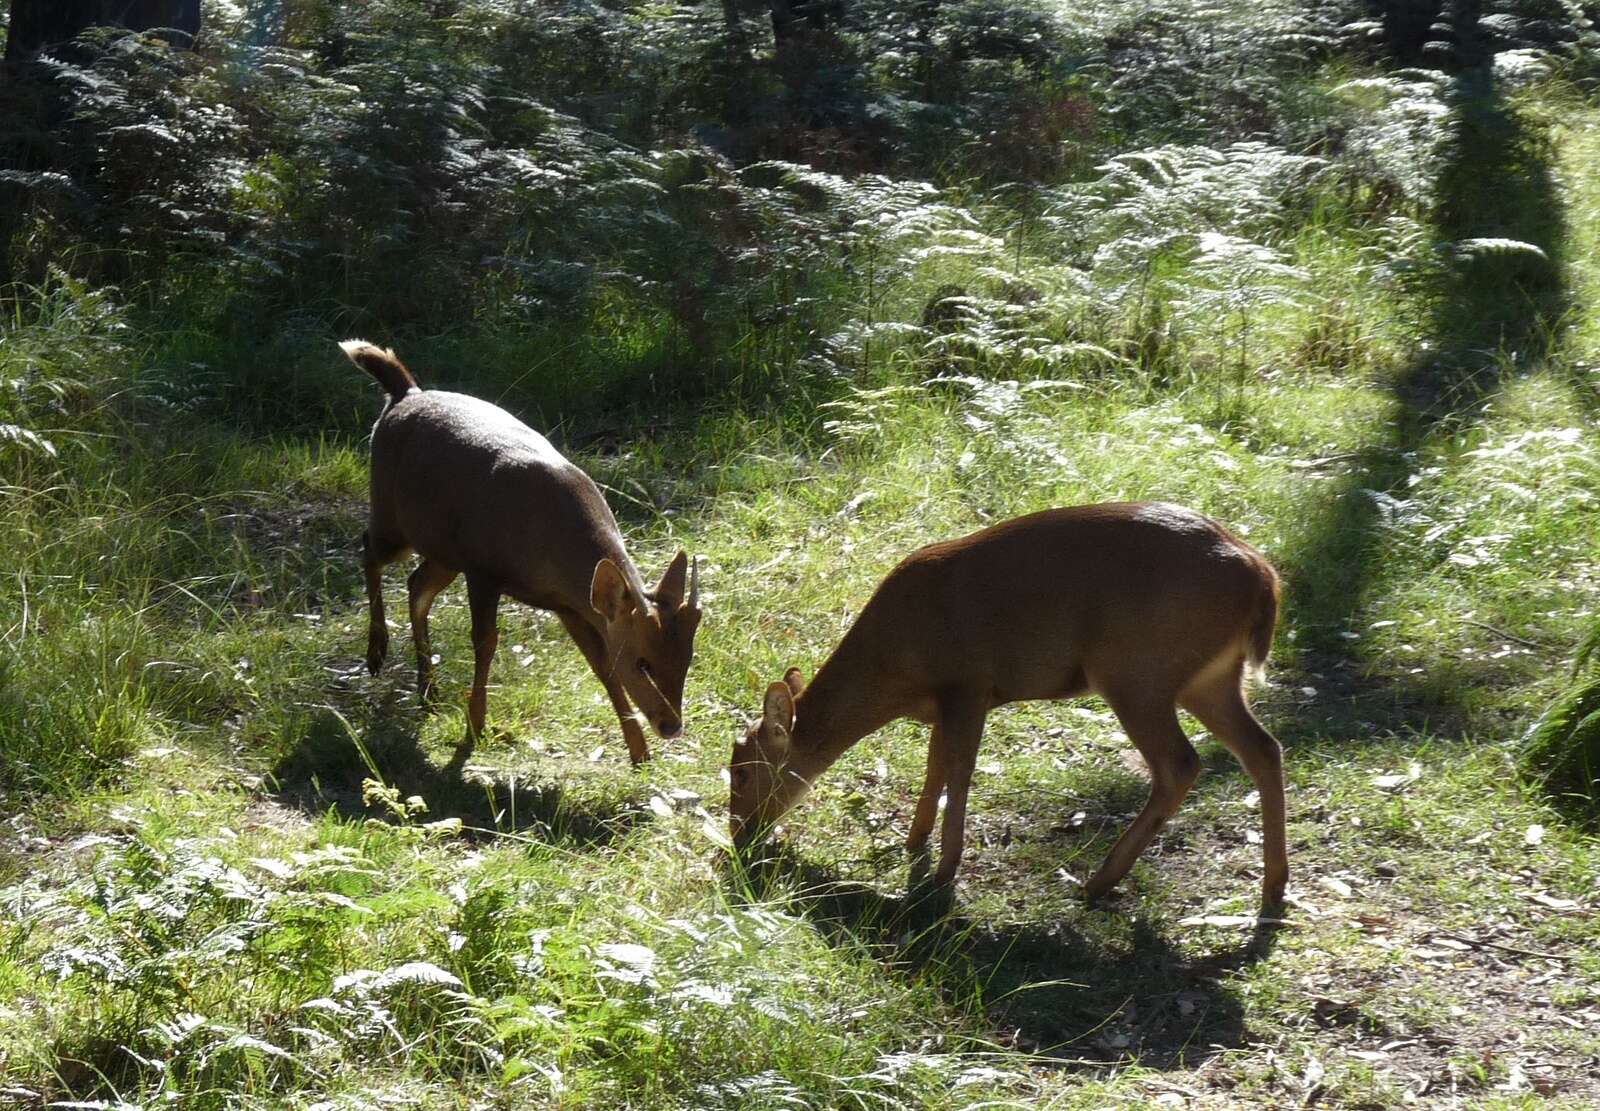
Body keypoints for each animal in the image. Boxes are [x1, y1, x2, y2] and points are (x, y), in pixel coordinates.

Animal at [340, 340, 701, 767]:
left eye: (687, 658)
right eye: (642, 662)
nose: (672, 726)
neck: (550, 548)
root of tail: (404, 393)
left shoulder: (569, 605)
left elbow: (600, 666)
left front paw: (638, 751)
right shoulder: (483, 569)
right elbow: (485, 642)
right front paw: (475, 727)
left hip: (443, 550)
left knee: (416, 585)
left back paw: (428, 692)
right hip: (394, 518)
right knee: (368, 549)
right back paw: (377, 653)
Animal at [728, 502, 1287, 908]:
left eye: (740, 772)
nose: (738, 834)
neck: (893, 670)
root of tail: (1263, 576)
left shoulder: (970, 685)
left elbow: (959, 772)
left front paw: (944, 872)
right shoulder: (947, 702)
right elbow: (935, 765)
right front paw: (914, 842)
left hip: (1137, 671)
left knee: (1180, 764)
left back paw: (1099, 881)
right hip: (1208, 678)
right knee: (1264, 748)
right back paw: (1273, 888)